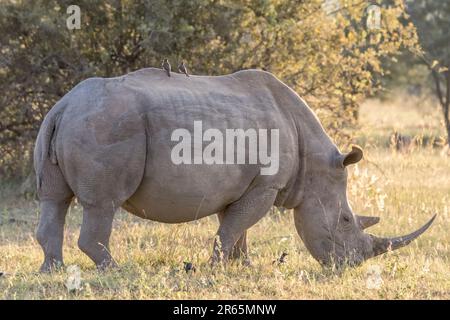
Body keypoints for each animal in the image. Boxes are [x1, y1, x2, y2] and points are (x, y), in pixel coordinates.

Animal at [33, 69, 434, 272]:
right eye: (347, 222)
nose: (349, 267)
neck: (316, 163)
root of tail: (63, 106)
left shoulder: (244, 185)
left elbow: (236, 226)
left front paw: (244, 266)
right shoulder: (267, 185)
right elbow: (233, 227)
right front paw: (216, 268)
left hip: (70, 121)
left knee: (54, 199)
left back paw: (53, 271)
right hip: (105, 125)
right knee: (103, 203)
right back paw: (115, 270)